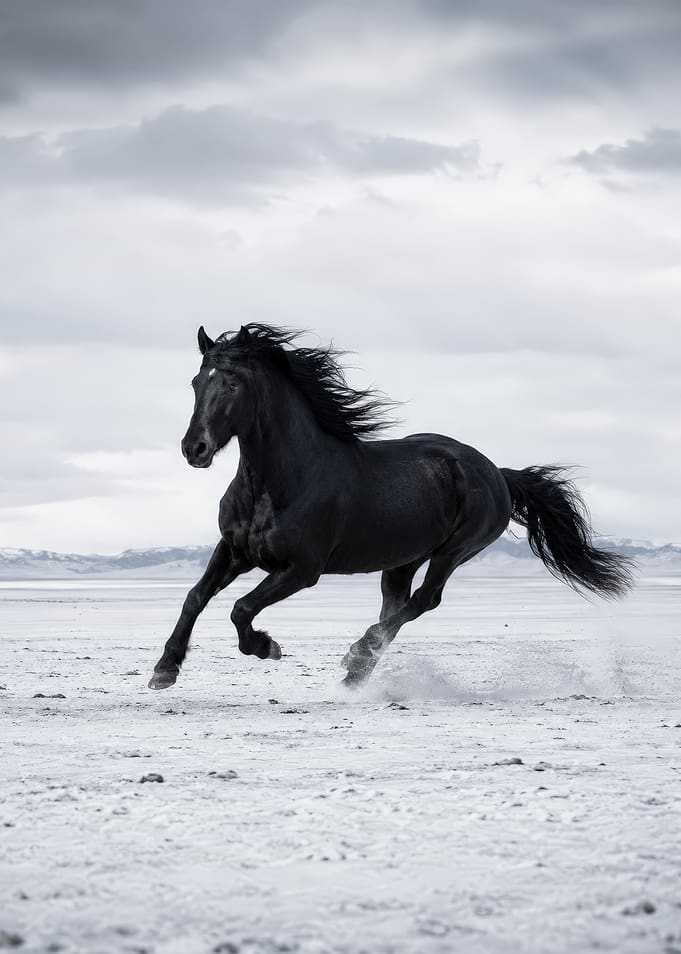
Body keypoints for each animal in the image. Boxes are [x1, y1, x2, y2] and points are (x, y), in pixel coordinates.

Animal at [148, 324, 633, 691]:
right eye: (196, 382)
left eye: (232, 383)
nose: (194, 449)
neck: (286, 480)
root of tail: (497, 472)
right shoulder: (235, 551)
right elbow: (195, 597)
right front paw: (164, 669)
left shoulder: (301, 570)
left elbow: (241, 609)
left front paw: (268, 647)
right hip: (402, 560)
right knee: (395, 609)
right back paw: (356, 672)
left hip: (453, 551)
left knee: (424, 601)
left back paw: (356, 655)